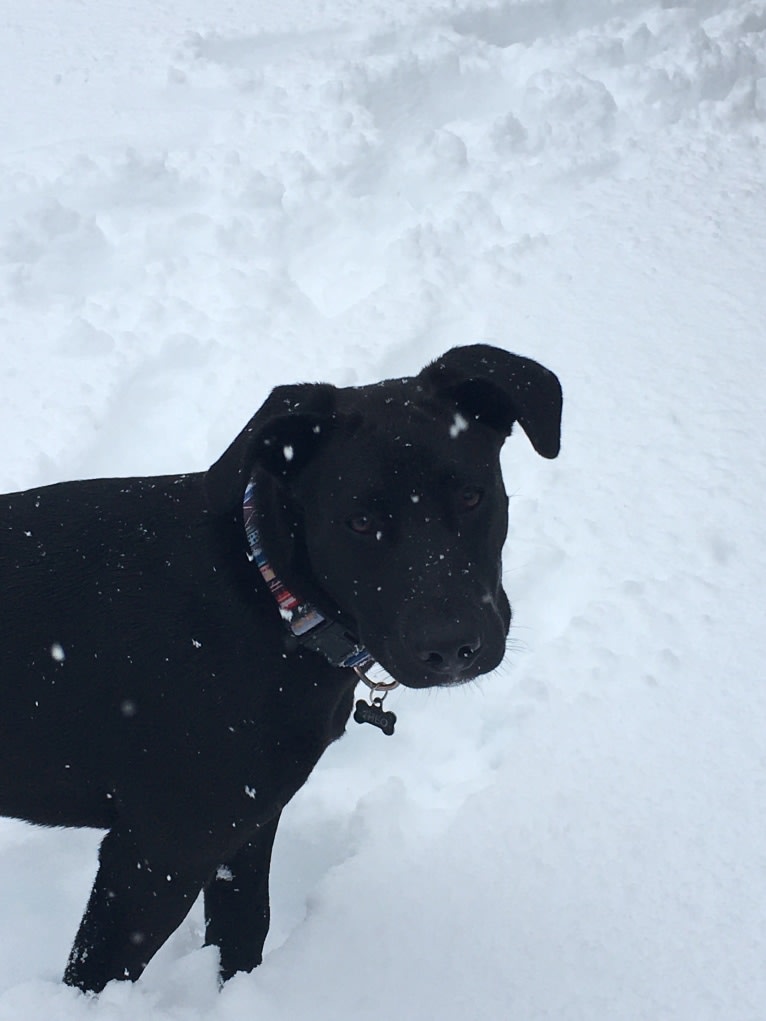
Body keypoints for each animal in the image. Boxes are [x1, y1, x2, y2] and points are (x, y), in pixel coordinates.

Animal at [0, 343, 563, 988]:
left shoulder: (247, 823)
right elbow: (95, 977)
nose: (451, 648)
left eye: (471, 496)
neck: (269, 596)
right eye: (359, 522)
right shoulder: (157, 849)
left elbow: (244, 933)